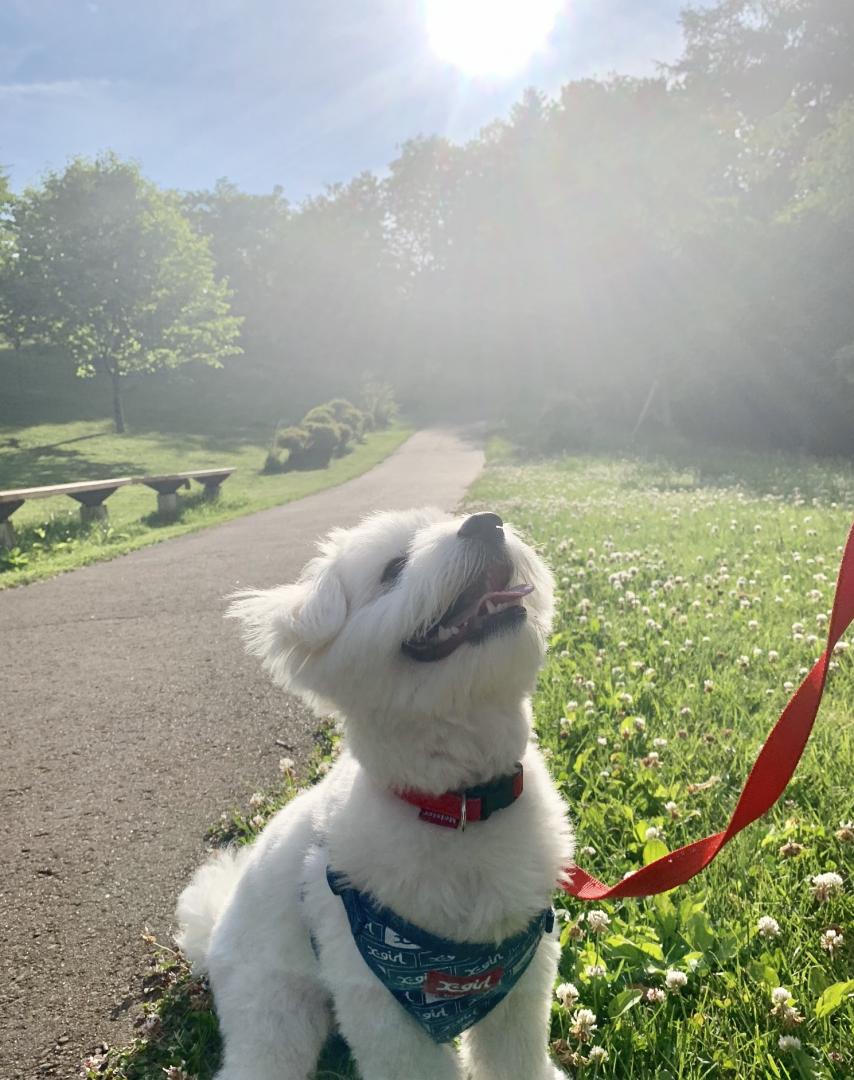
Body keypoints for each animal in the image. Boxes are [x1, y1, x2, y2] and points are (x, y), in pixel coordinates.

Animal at [174, 507, 574, 1080]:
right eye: (392, 569)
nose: (485, 522)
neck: (458, 806)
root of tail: (212, 940)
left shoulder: (521, 974)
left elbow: (515, 1056)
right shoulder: (380, 1000)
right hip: (275, 1012)